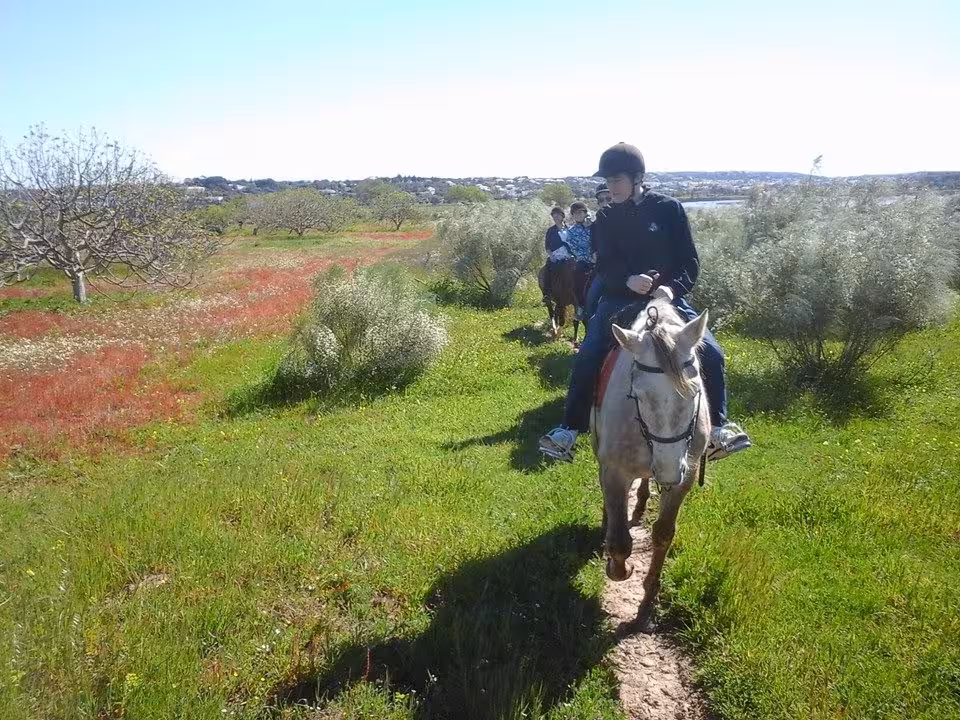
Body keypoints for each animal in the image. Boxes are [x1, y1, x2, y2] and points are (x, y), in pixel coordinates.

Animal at [591, 298, 711, 632]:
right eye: (638, 396)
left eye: (695, 391)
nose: (668, 470)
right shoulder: (614, 472)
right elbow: (620, 541)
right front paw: (618, 567)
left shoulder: (685, 476)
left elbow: (663, 534)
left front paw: (648, 599)